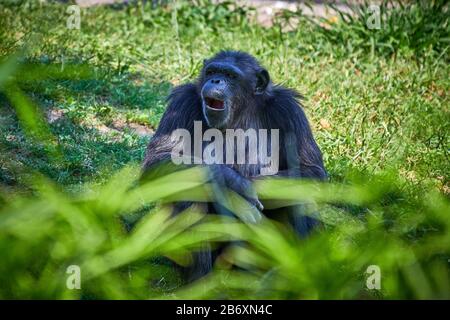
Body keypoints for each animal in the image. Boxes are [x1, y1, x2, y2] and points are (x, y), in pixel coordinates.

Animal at [144, 50, 326, 280]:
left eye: (231, 76)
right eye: (212, 71)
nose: (216, 80)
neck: (241, 111)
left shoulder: (289, 110)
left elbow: (311, 169)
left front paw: (243, 187)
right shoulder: (181, 103)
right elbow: (159, 158)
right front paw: (234, 183)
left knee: (299, 190)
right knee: (188, 191)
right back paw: (201, 280)